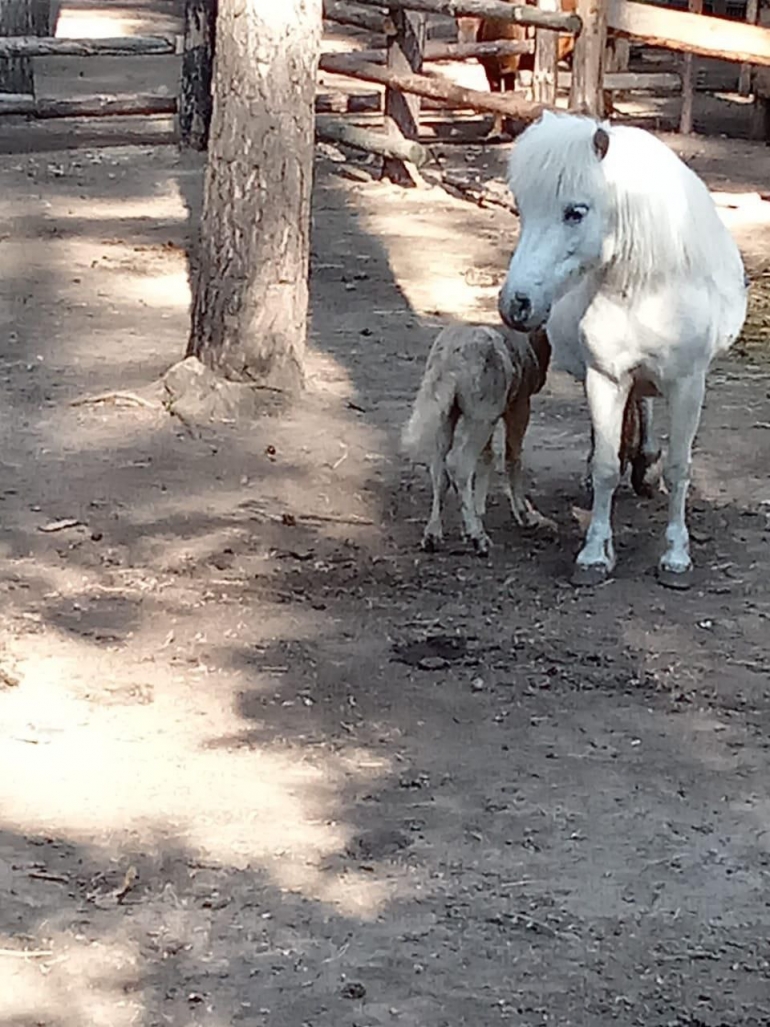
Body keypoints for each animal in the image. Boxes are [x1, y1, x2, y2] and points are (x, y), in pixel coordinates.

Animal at [496, 111, 751, 587]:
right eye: (521, 207)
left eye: (575, 212)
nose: (516, 305)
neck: (647, 286)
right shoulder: (606, 376)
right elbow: (606, 467)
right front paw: (595, 554)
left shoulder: (688, 384)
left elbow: (680, 466)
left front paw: (676, 556)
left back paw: (646, 465)